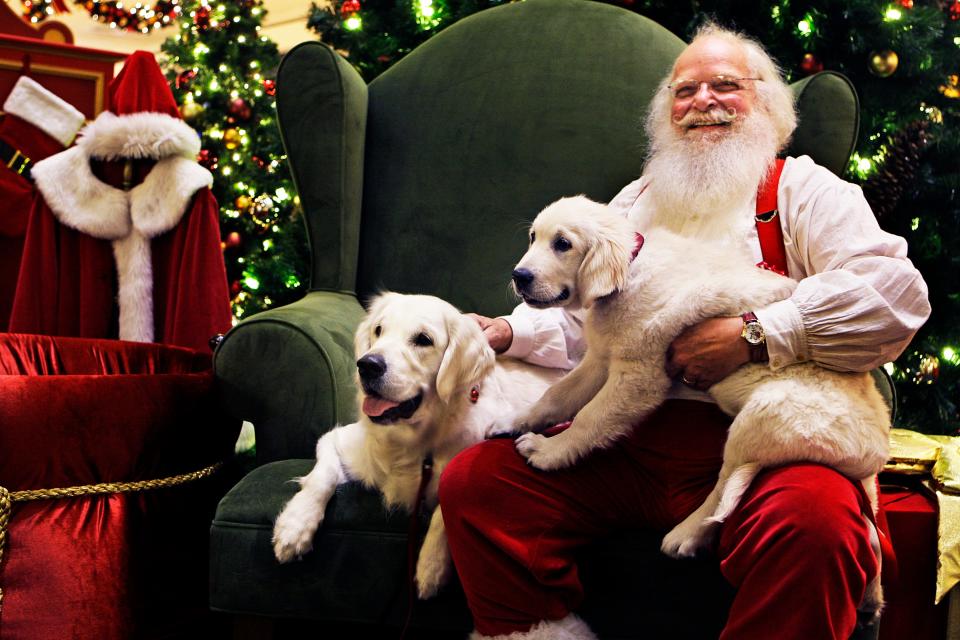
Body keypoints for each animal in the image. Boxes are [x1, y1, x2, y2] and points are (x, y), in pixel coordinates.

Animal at [272, 292, 564, 596]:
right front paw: (294, 526)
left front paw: (431, 566)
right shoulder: (339, 440)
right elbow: (322, 476)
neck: (409, 440)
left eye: (423, 339)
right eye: (378, 330)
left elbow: (444, 504)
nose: (367, 365)